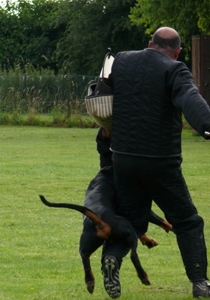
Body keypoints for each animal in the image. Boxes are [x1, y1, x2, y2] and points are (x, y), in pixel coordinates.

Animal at [39, 168, 172, 294]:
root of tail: (99, 219)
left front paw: (149, 241)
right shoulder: (141, 211)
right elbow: (164, 221)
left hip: (89, 242)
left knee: (85, 257)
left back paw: (90, 282)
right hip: (128, 232)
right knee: (133, 255)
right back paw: (143, 276)